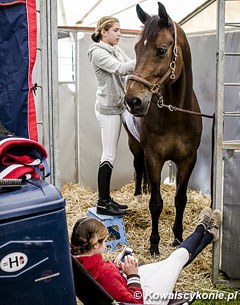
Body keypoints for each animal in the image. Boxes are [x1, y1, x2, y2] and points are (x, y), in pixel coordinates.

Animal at [125, 2, 202, 254]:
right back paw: (138, 194)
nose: (132, 101)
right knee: (138, 167)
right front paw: (154, 244)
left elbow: (180, 199)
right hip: (135, 146)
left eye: (160, 50)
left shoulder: (188, 160)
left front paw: (178, 237)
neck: (175, 115)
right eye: (136, 49)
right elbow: (156, 203)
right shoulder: (153, 158)